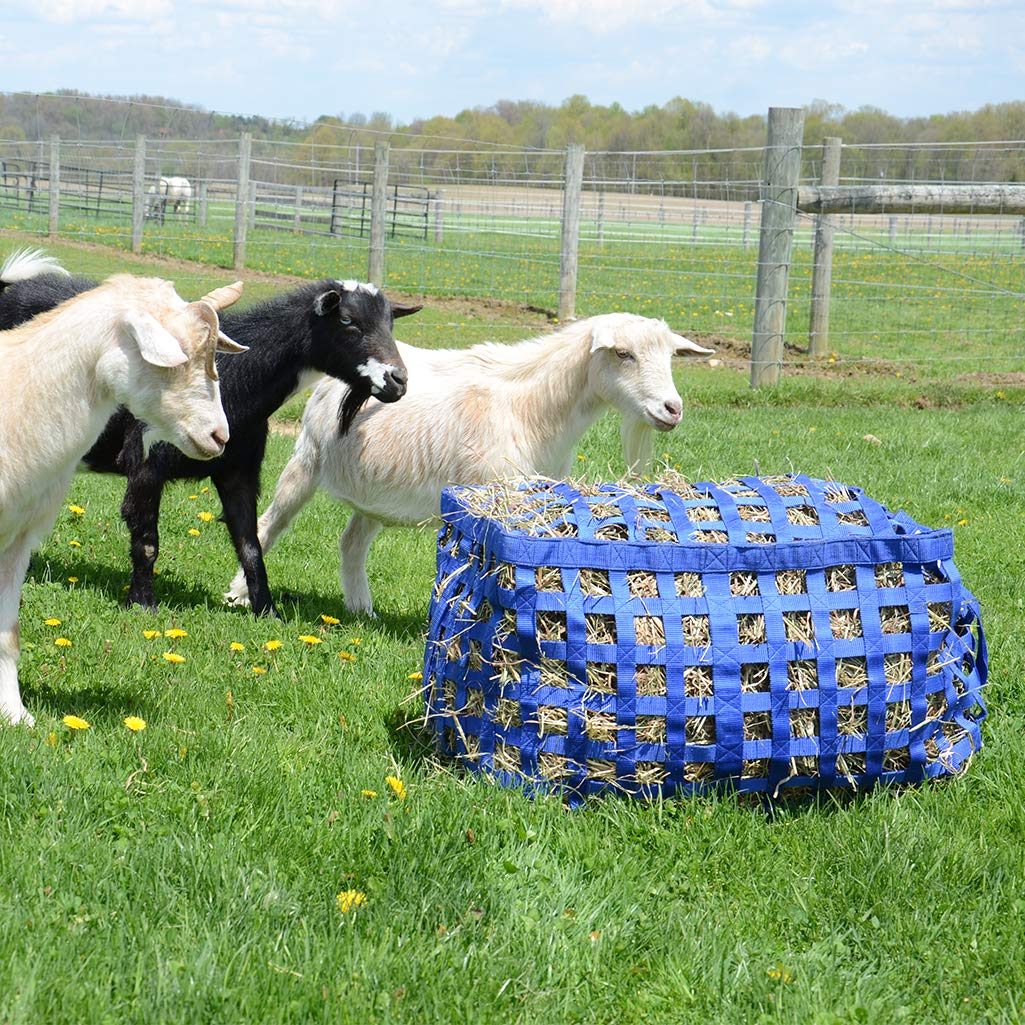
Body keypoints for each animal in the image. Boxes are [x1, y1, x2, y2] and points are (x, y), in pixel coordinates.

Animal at [0, 248, 420, 615]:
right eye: (347, 321)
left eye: (390, 323)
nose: (398, 381)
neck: (236, 378)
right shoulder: (146, 465)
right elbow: (147, 542)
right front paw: (142, 603)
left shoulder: (238, 471)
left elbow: (250, 543)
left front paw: (266, 610)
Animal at [226, 311, 713, 615]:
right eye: (623, 354)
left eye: (669, 357)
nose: (672, 409)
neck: (532, 407)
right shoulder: (491, 488)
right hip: (306, 459)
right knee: (270, 523)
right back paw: (239, 596)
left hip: (374, 491)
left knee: (351, 542)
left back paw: (362, 609)